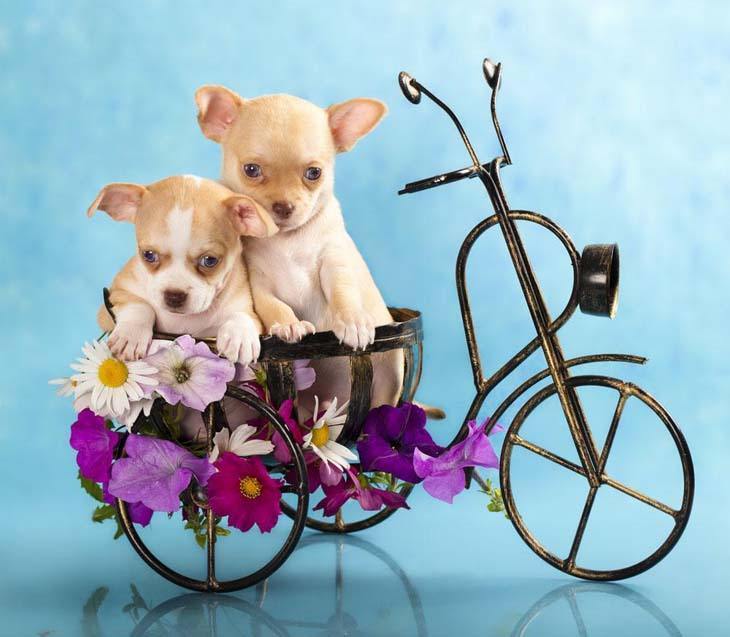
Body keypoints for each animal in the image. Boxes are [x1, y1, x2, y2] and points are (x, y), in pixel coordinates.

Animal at [89, 174, 276, 366]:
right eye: (148, 255)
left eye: (210, 261)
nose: (174, 296)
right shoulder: (114, 297)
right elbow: (139, 305)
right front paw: (131, 335)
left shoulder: (249, 312)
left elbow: (242, 315)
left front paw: (240, 336)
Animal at [193, 85, 404, 408]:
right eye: (251, 170)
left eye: (314, 173)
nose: (283, 206)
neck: (287, 240)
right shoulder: (259, 284)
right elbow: (273, 306)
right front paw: (287, 325)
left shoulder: (334, 262)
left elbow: (342, 291)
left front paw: (352, 320)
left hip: (391, 368)